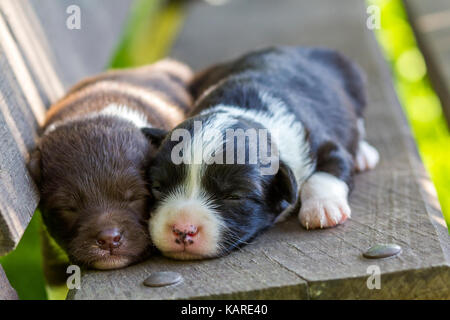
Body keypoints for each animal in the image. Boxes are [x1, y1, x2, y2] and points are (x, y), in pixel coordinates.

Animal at [142, 47, 380, 260]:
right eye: (158, 187)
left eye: (234, 196)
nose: (183, 230)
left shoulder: (323, 143)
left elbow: (329, 169)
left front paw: (322, 208)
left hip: (354, 78)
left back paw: (363, 154)